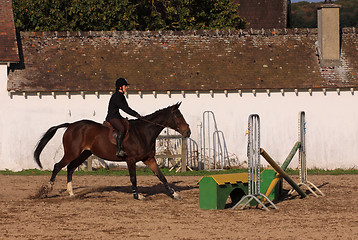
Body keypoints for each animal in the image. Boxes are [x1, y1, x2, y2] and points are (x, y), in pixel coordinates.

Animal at [33, 102, 190, 200]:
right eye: (177, 116)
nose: (187, 132)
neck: (143, 132)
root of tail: (71, 125)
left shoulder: (149, 159)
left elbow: (161, 176)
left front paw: (174, 195)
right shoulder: (131, 160)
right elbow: (133, 178)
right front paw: (137, 195)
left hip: (84, 153)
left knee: (70, 168)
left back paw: (71, 194)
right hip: (72, 153)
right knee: (57, 166)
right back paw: (47, 190)